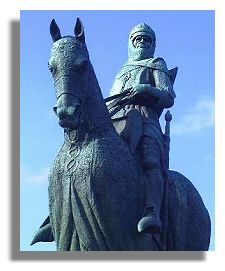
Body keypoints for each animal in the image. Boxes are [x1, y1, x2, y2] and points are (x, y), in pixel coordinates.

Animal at [30, 18, 211, 253]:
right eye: (51, 67)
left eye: (83, 65)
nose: (67, 113)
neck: (81, 142)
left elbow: (167, 96)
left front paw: (139, 90)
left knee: (152, 164)